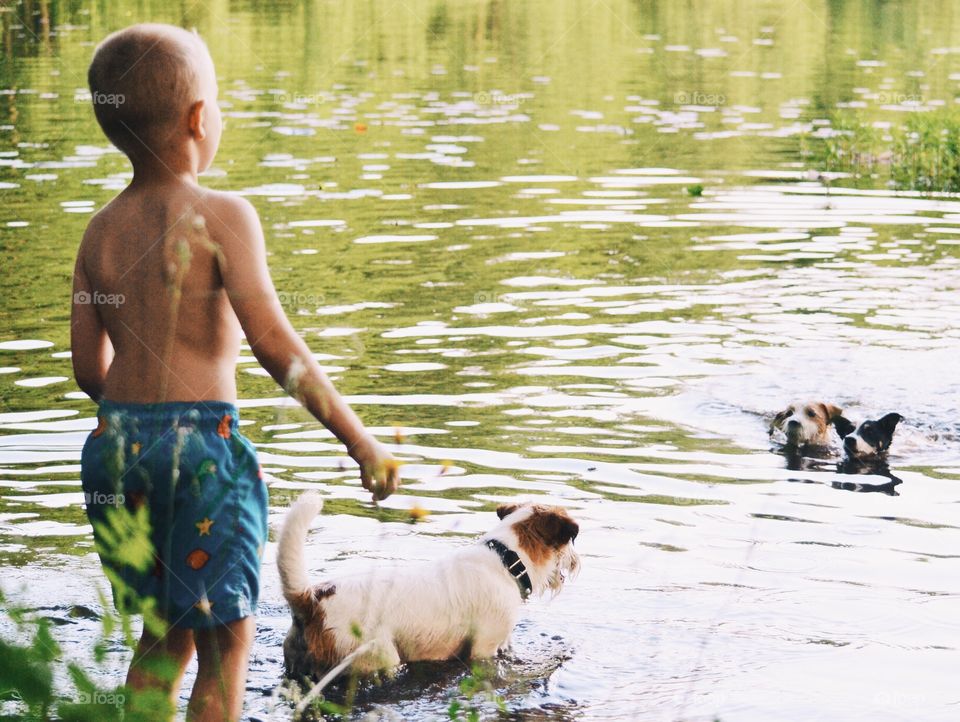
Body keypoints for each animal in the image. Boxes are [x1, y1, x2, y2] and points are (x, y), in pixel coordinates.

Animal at [274, 492, 580, 676]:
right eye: (570, 542)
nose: (576, 562)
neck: (506, 559)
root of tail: (312, 600)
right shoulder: (484, 650)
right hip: (378, 657)